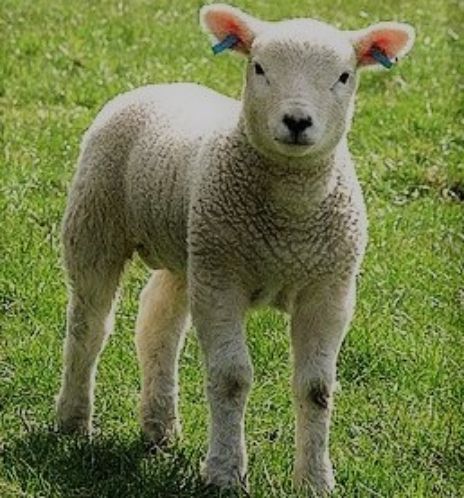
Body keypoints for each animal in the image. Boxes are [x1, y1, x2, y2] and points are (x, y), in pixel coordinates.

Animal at [55, 3, 415, 494]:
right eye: (259, 67)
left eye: (344, 76)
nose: (297, 122)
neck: (290, 217)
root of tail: (161, 85)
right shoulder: (221, 282)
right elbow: (230, 378)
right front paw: (225, 472)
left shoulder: (329, 289)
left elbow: (316, 388)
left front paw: (315, 481)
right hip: (97, 222)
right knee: (88, 327)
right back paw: (72, 422)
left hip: (190, 250)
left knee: (157, 322)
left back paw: (159, 426)